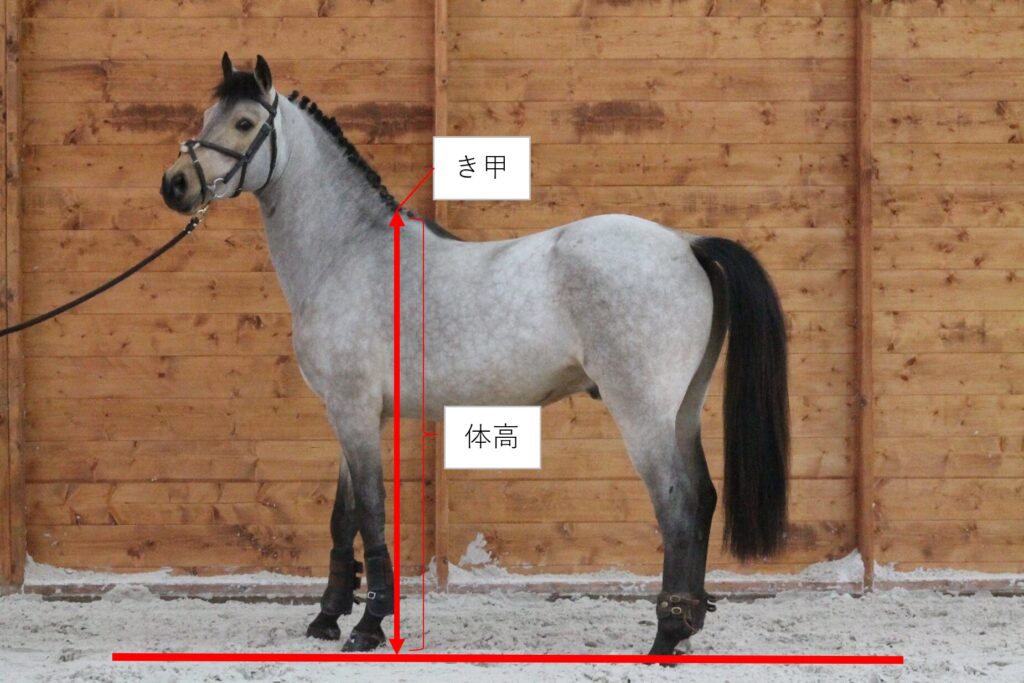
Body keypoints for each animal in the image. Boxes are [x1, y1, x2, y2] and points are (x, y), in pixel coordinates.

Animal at [160, 53, 790, 655]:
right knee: (703, 499)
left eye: (244, 123)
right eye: (206, 117)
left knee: (678, 508)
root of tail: (687, 244)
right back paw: (687, 625)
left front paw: (367, 626)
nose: (175, 184)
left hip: (644, 414)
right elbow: (343, 518)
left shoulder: (354, 411)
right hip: (683, 411)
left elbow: (370, 514)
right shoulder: (353, 413)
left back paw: (666, 637)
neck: (348, 254)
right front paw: (326, 618)